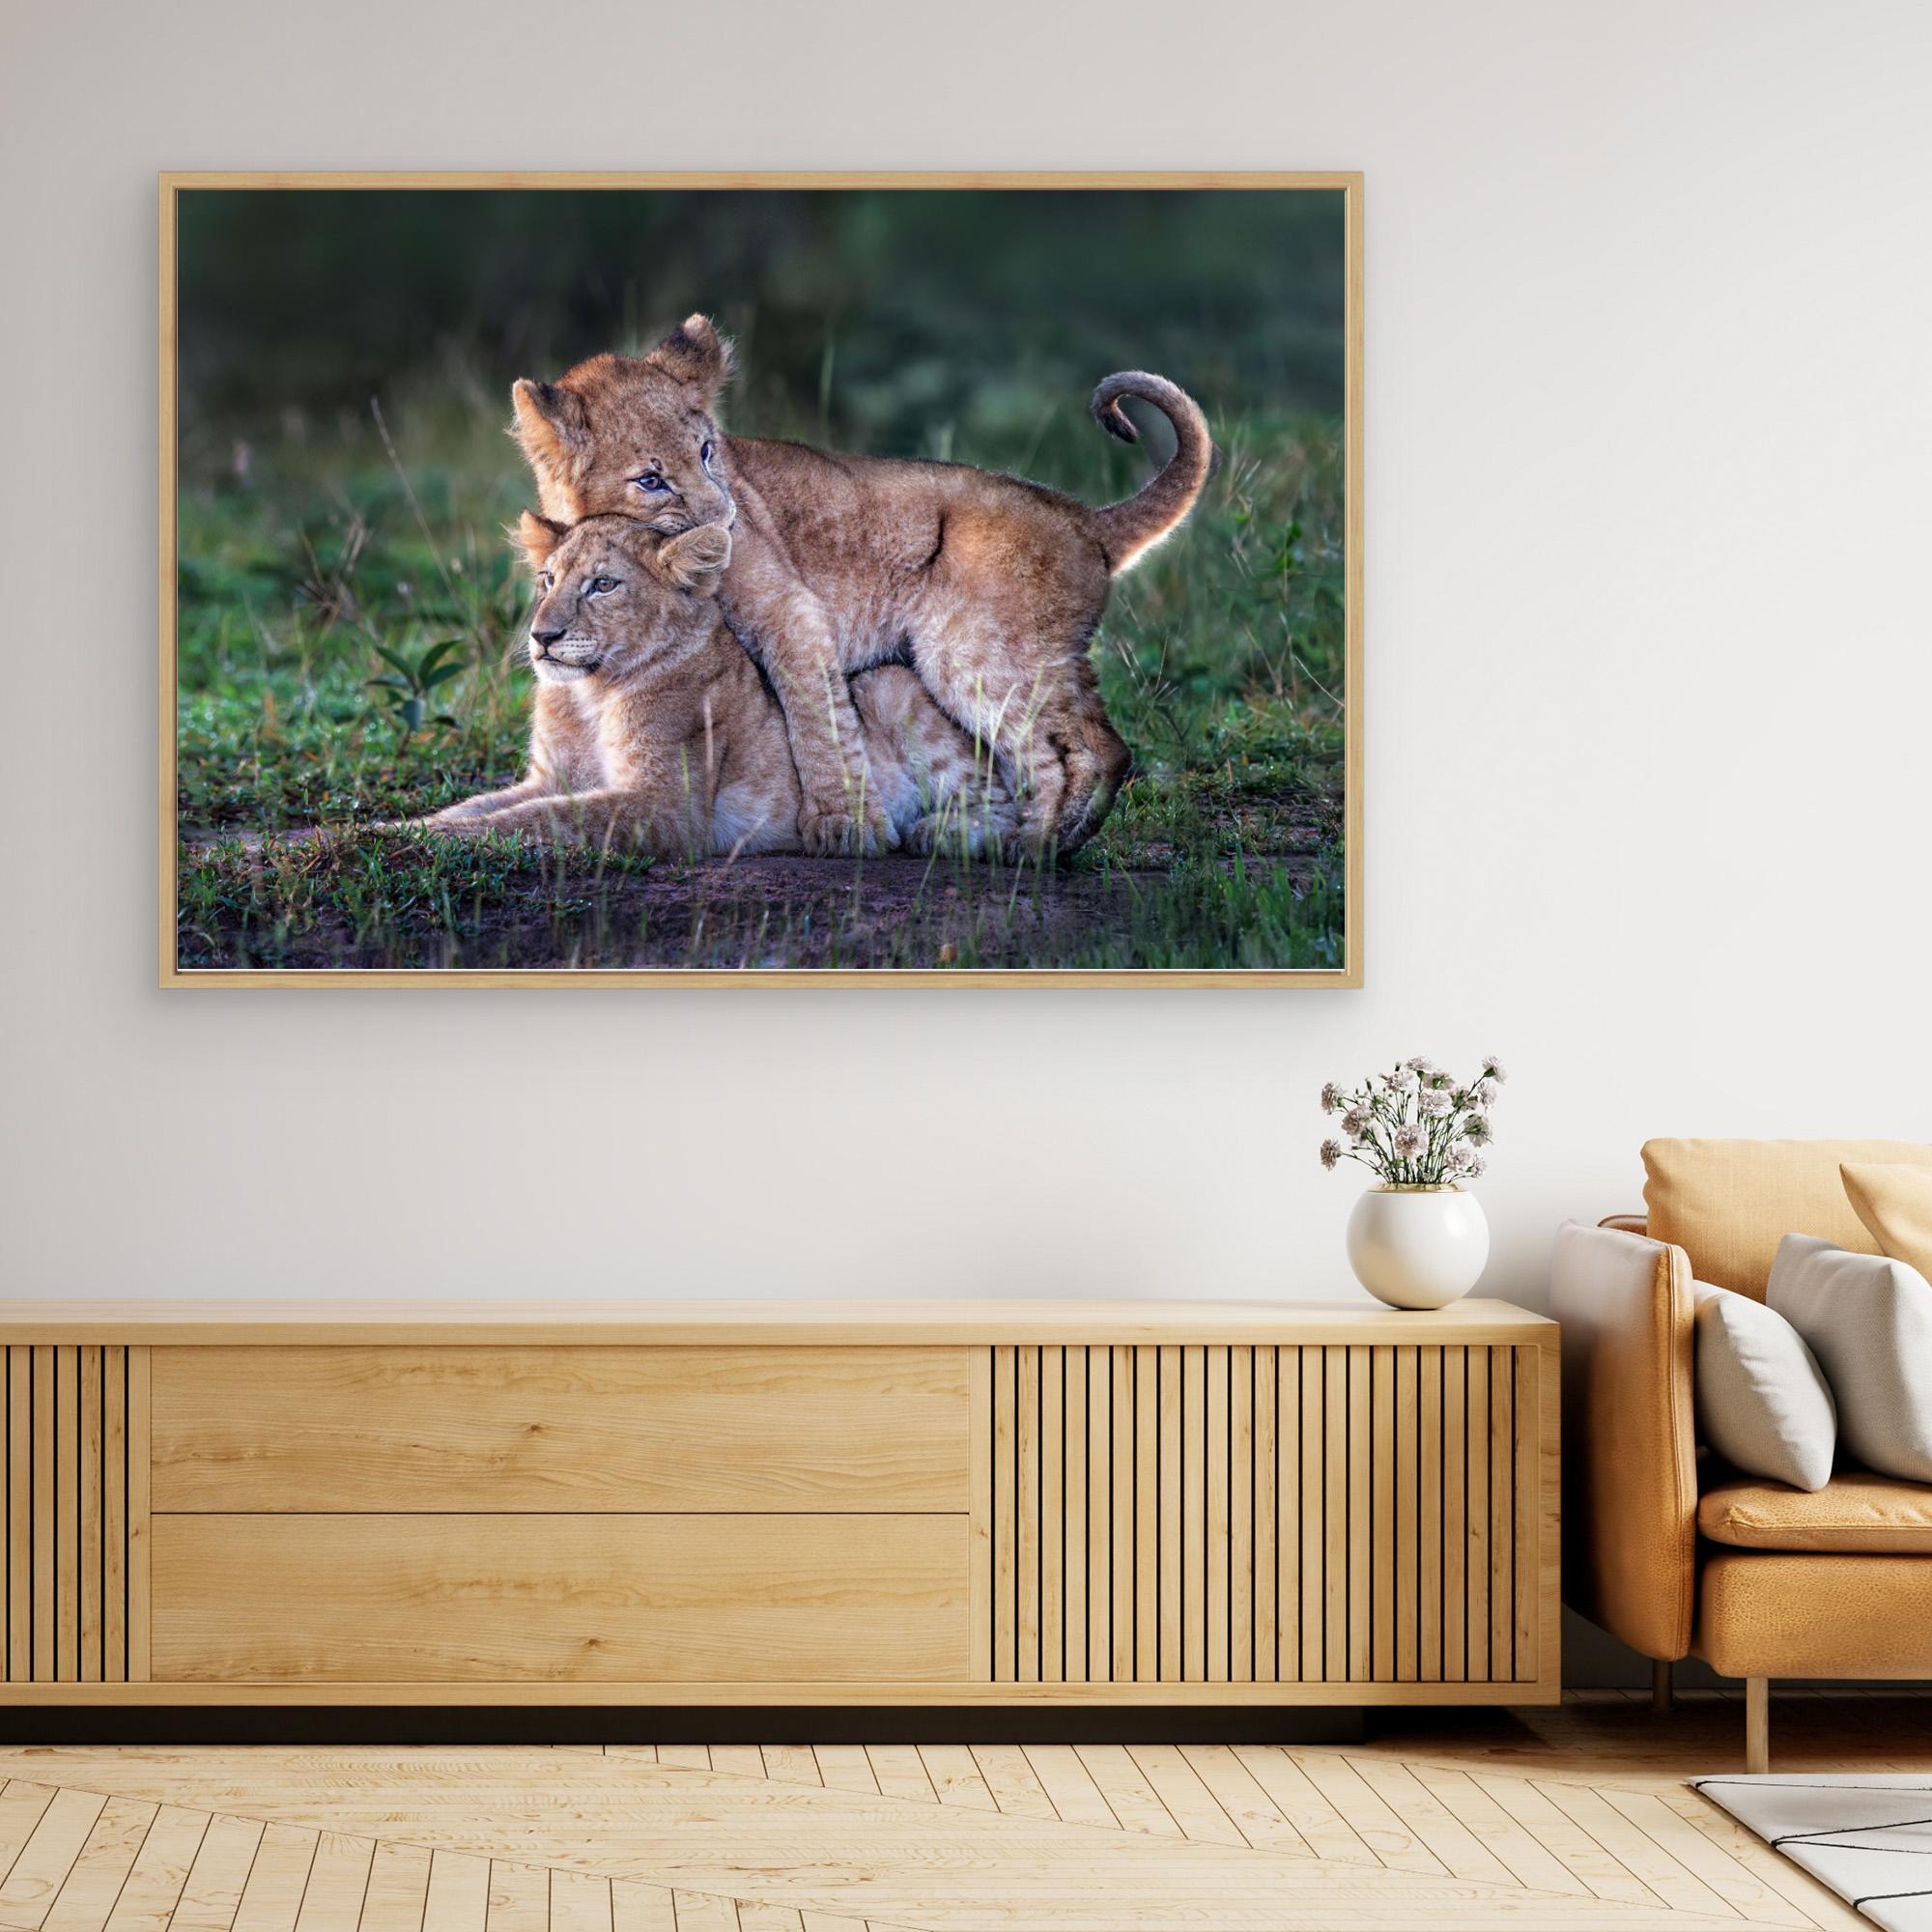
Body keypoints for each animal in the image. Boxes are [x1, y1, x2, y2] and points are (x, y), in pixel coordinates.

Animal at [423, 513, 1019, 862]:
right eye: (548, 579)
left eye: (604, 585)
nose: (542, 636)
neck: (589, 694)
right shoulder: (552, 778)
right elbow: (482, 806)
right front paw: (411, 826)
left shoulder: (665, 807)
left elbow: (542, 818)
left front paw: (436, 839)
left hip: (887, 682)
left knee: (1004, 804)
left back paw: (941, 834)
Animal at [509, 315, 1211, 859]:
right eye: (650, 480)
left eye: (708, 452)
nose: (726, 520)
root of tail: (1085, 516)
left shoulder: (790, 610)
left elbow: (816, 717)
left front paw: (843, 824)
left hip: (972, 654)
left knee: (1090, 749)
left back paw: (1032, 846)